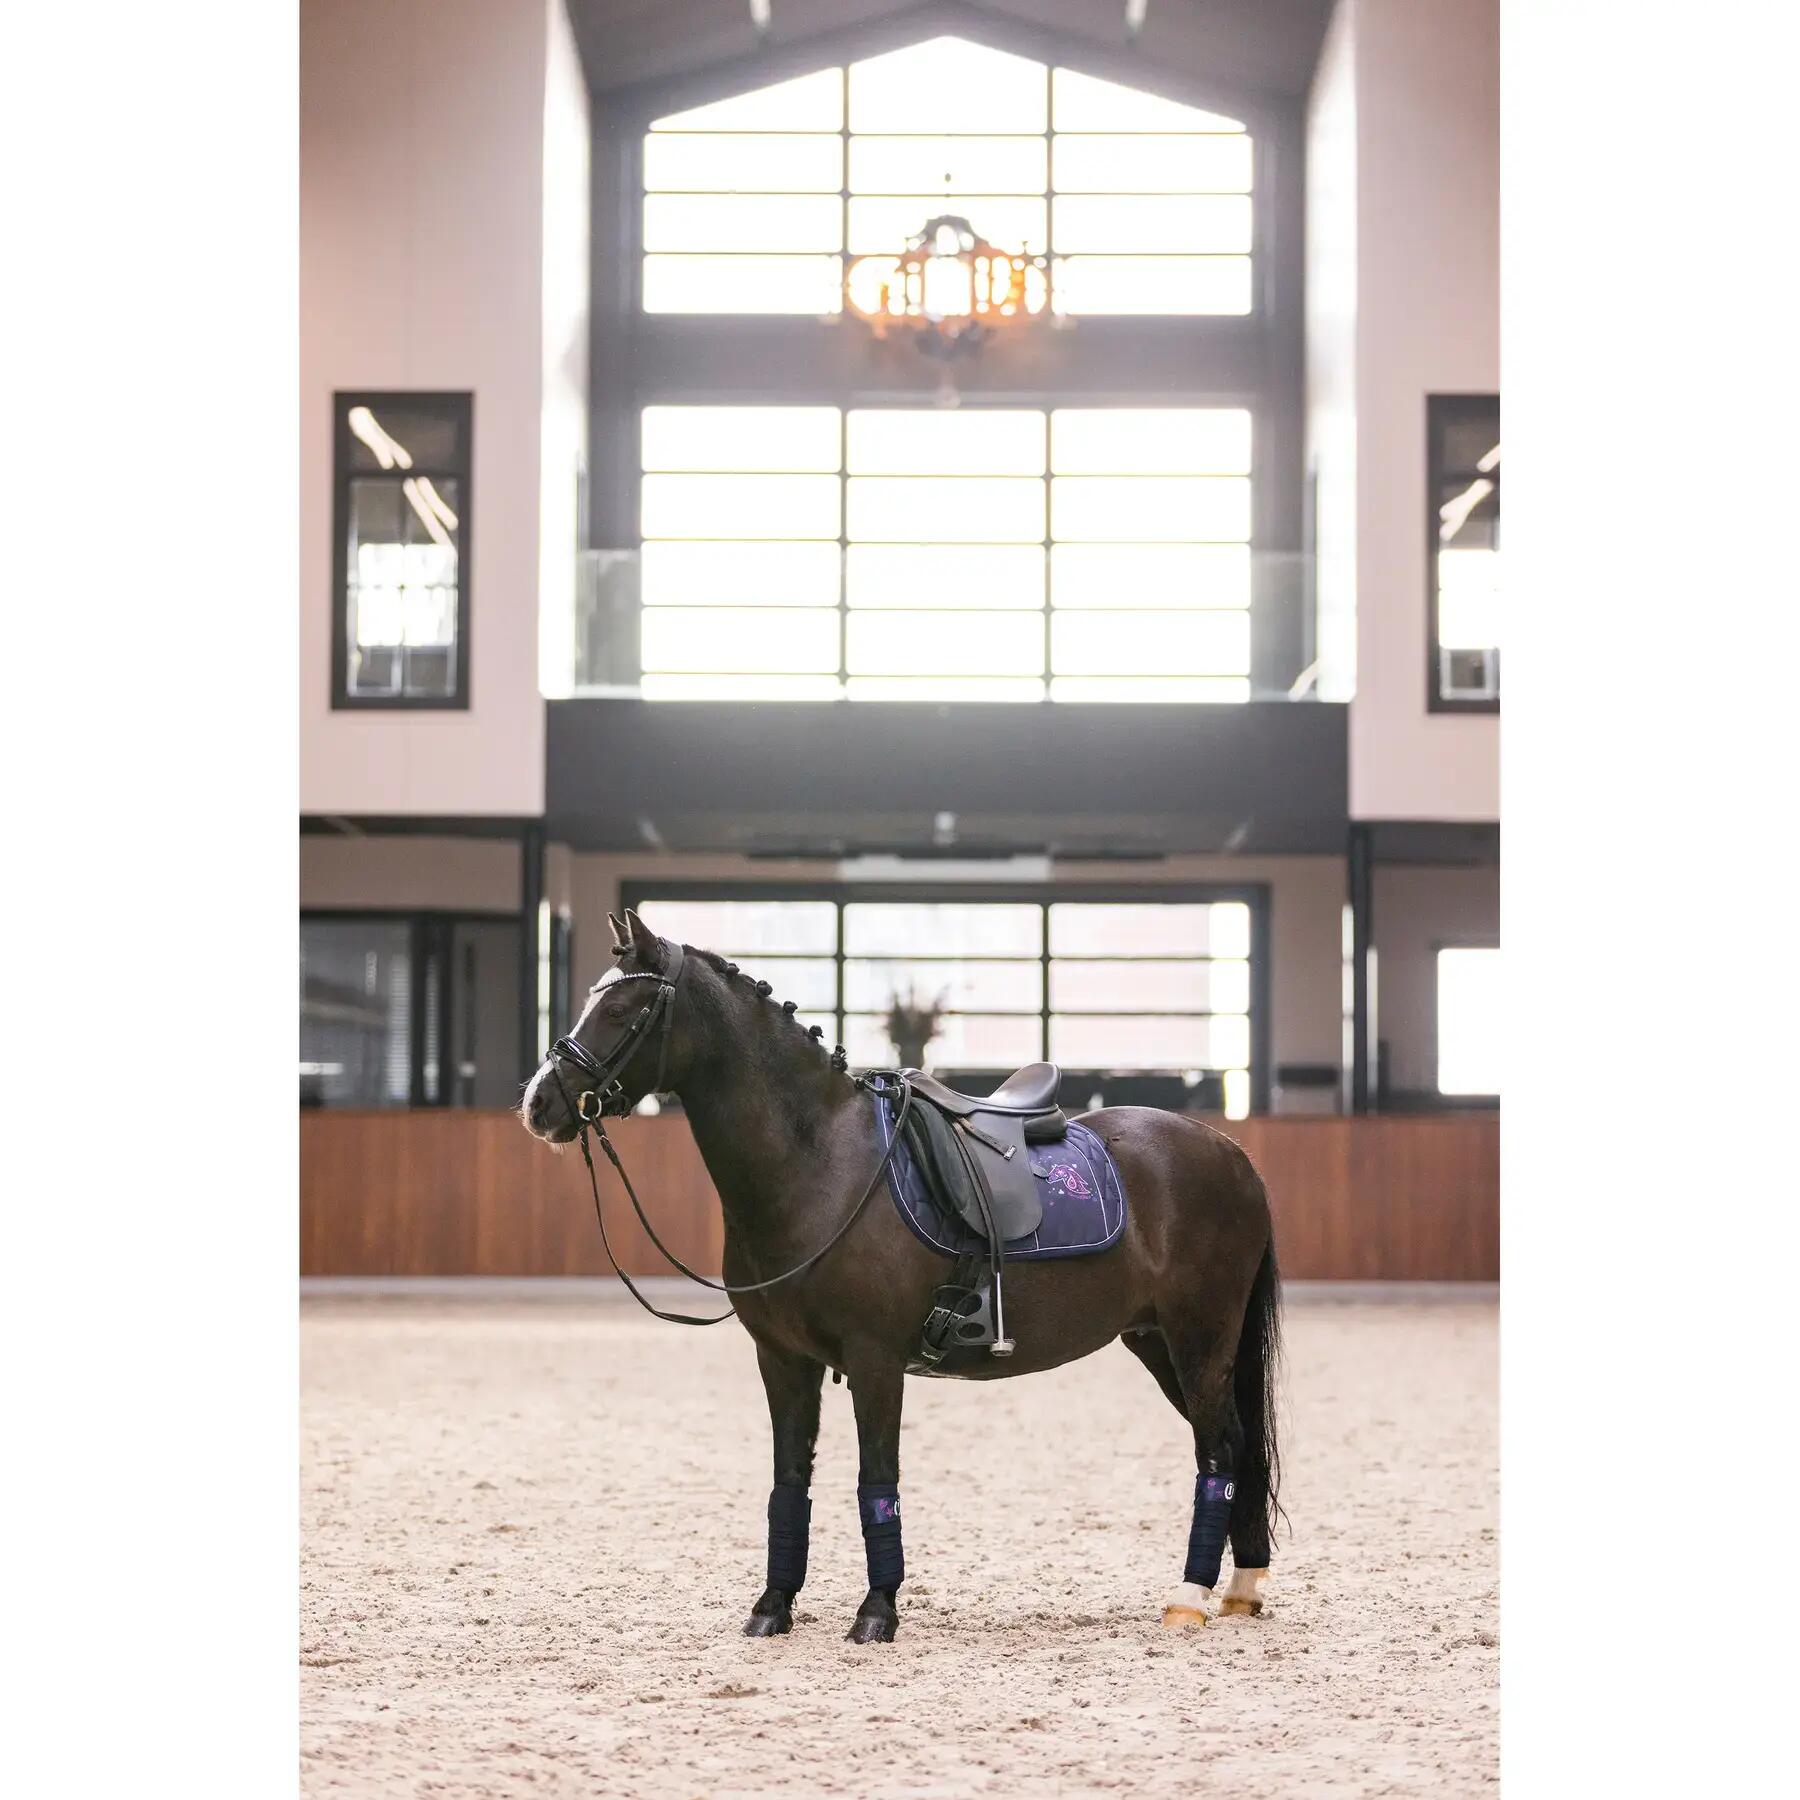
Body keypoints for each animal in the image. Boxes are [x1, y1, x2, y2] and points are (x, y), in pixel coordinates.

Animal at [521, 908, 1282, 1644]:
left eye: (624, 1009)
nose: (538, 1104)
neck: (822, 1164)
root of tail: (1230, 1153)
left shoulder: (875, 1361)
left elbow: (876, 1480)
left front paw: (876, 1612)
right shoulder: (783, 1360)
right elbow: (788, 1482)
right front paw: (773, 1608)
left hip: (1200, 1336)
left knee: (1219, 1449)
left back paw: (1188, 1597)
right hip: (1157, 1340)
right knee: (1238, 1445)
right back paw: (1241, 1588)